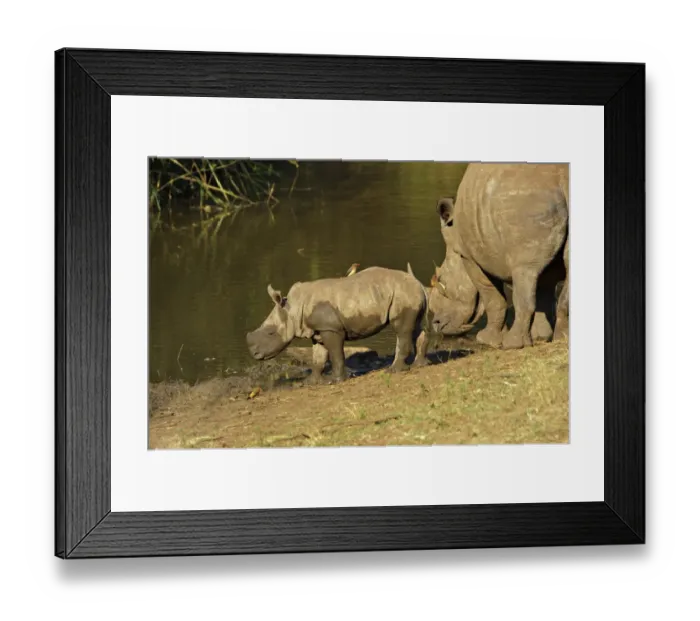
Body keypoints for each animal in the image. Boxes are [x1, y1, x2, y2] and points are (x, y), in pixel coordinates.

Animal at [245, 265, 429, 382]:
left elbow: (335, 354)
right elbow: (318, 357)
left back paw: (393, 370)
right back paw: (420, 364)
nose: (254, 354)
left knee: (401, 329)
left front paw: (337, 380)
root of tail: (419, 283)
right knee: (415, 327)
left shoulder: (331, 328)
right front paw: (311, 382)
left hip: (402, 293)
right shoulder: (318, 330)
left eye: (271, 333)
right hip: (405, 293)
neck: (293, 308)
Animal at [434, 163, 569, 349]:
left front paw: (488, 340)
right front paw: (541, 337)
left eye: (443, 282)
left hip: (526, 203)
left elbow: (490, 296)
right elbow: (544, 293)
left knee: (524, 272)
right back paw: (563, 339)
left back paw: (513, 344)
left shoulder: (468, 256)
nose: (436, 324)